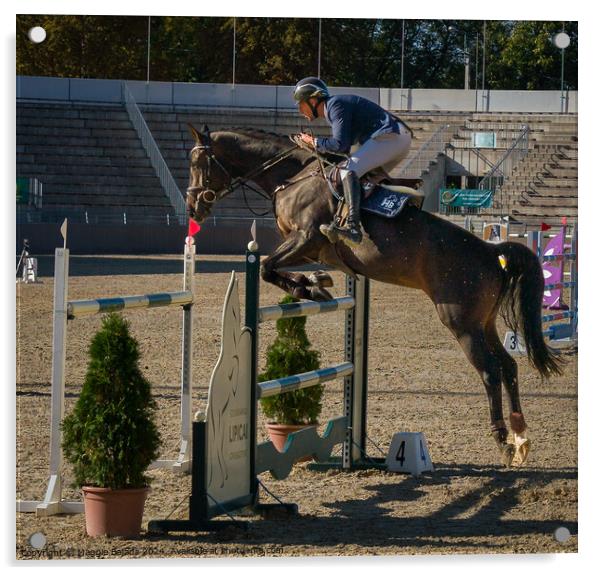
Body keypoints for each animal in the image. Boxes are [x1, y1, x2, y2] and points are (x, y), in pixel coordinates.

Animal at [188, 125, 564, 468]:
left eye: (197, 163)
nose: (193, 209)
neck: (291, 178)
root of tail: (490, 250)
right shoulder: (310, 249)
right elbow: (279, 268)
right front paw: (315, 283)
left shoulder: (306, 238)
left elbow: (266, 267)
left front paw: (308, 287)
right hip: (483, 322)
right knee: (509, 366)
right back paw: (520, 436)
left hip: (461, 323)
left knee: (489, 370)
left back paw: (502, 439)